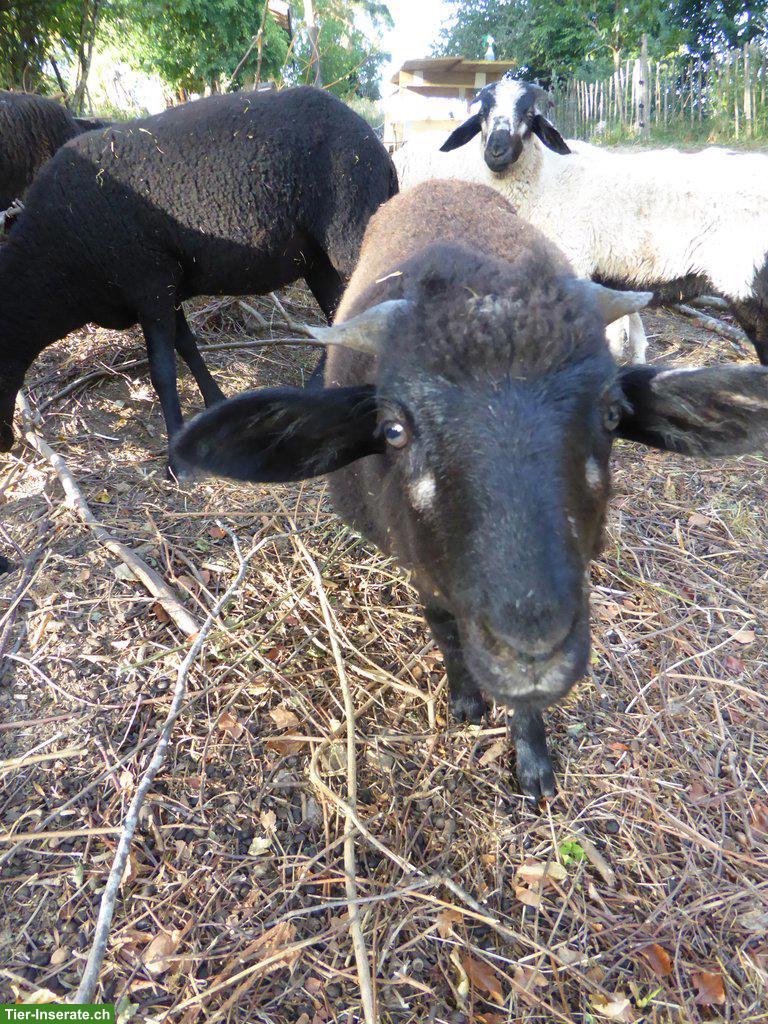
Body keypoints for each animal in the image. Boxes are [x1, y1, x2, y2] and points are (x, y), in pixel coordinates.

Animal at [0, 86, 397, 473]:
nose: (5, 445)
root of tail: (381, 150)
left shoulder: (149, 283)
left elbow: (162, 370)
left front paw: (176, 460)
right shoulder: (165, 286)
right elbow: (187, 348)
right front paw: (213, 402)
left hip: (350, 236)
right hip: (318, 261)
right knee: (340, 318)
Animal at [172, 179, 768, 801]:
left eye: (611, 415)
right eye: (394, 430)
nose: (532, 648)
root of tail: (443, 183)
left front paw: (532, 759)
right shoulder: (420, 563)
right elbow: (444, 629)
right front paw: (466, 702)